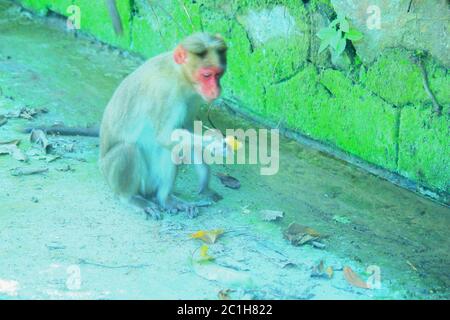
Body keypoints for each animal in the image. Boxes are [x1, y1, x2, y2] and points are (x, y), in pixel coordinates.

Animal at [100, 32, 230, 219]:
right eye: (206, 75)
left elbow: (186, 130)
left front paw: (205, 179)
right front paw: (214, 143)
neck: (179, 76)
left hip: (150, 182)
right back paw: (131, 198)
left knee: (173, 149)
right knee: (128, 150)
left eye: (218, 74)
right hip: (112, 175)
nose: (216, 90)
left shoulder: (193, 98)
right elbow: (164, 136)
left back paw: (165, 198)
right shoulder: (165, 95)